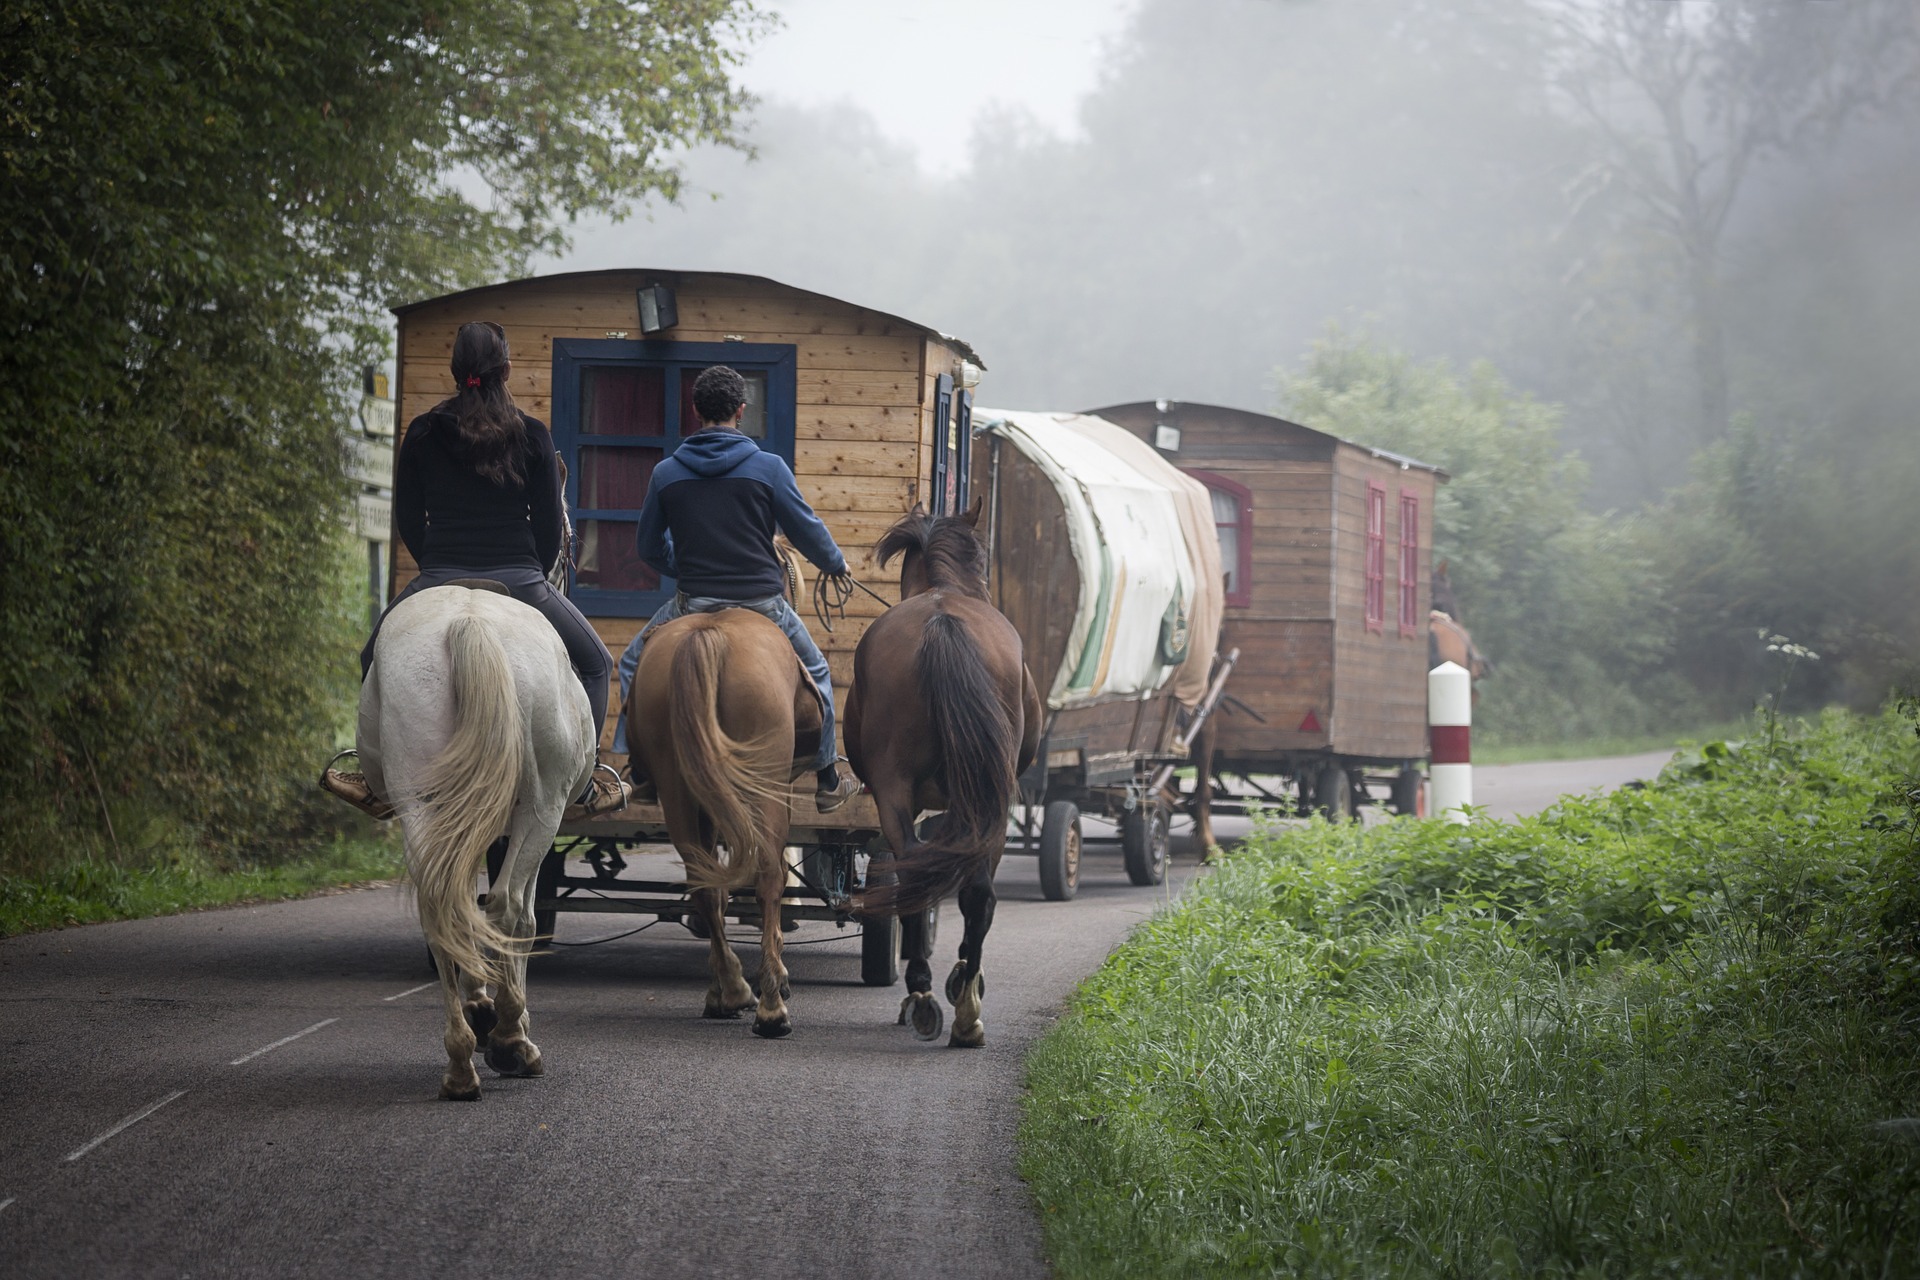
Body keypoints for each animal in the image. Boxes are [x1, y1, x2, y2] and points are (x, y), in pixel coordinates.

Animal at [357, 587, 595, 1097]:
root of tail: (470, 621)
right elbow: (520, 917)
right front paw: (506, 1023)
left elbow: (466, 908)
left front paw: (479, 1008)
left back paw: (461, 1062)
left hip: (423, 805)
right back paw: (508, 1042)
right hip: (542, 810)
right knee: (510, 910)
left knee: (441, 909)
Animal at [622, 610, 817, 1043]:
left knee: (704, 884)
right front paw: (779, 976)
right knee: (768, 876)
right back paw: (771, 1009)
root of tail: (708, 635)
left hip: (677, 788)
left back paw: (730, 990)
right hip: (763, 785)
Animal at [848, 498, 1044, 1051]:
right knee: (973, 892)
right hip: (985, 799)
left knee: (920, 876)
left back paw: (926, 995)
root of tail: (942, 622)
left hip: (902, 794)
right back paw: (962, 1004)